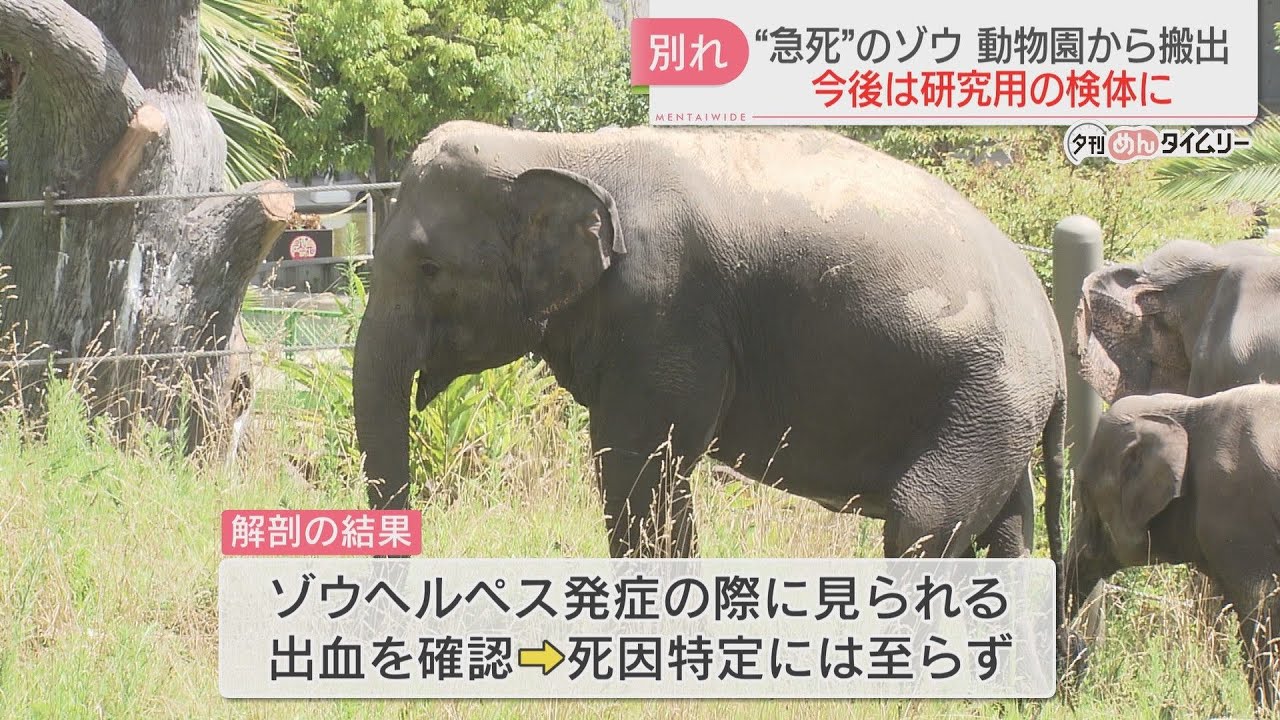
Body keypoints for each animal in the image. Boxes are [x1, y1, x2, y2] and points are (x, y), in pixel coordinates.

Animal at [353, 121, 1067, 569]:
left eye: (429, 270)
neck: (558, 151)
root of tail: (1056, 340)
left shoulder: (666, 310)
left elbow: (640, 467)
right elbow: (655, 471)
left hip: (984, 403)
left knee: (922, 524)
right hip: (996, 417)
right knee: (1009, 533)